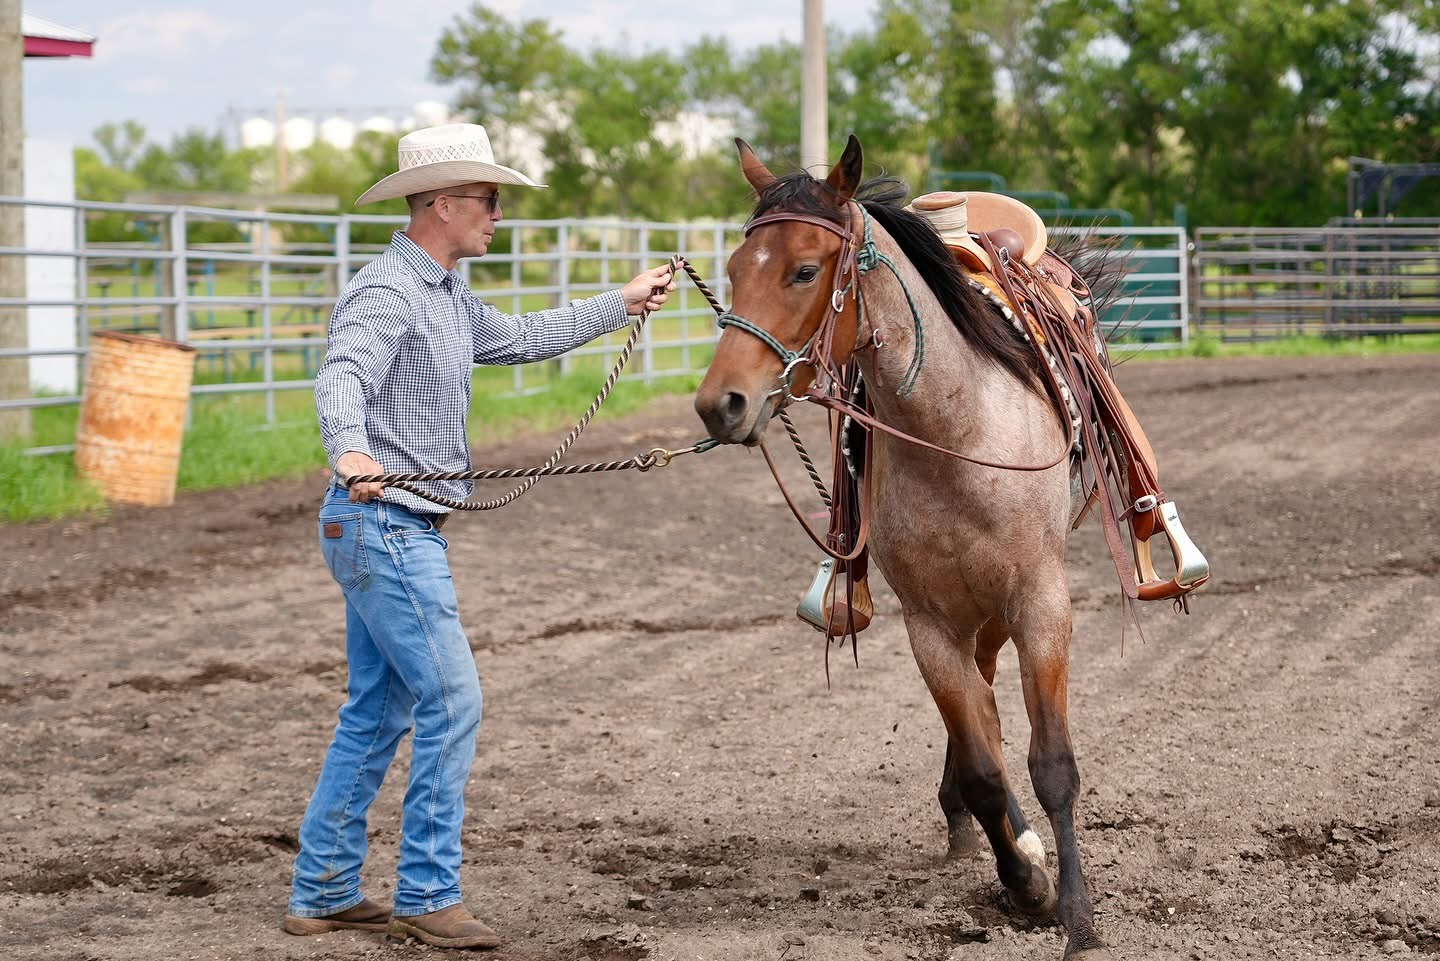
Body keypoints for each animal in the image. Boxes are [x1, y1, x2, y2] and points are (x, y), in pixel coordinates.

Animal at [694, 136, 1116, 959]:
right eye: (732, 268)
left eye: (803, 269)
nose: (719, 403)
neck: (958, 430)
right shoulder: (928, 623)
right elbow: (984, 765)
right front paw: (1024, 877)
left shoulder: (1042, 601)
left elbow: (1052, 762)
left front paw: (1076, 912)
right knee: (981, 709)